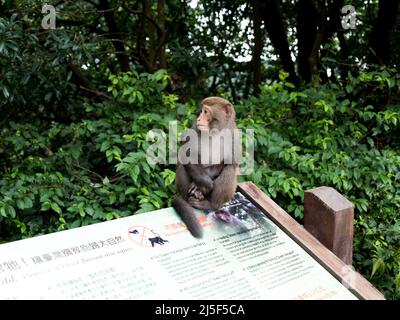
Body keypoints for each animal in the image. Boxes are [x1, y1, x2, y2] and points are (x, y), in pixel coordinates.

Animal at [171, 97, 241, 238]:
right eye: (202, 111)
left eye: (206, 112)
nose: (198, 118)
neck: (215, 131)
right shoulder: (194, 128)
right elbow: (187, 155)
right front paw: (203, 184)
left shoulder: (234, 136)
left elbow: (230, 162)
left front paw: (200, 187)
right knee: (182, 164)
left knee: (230, 170)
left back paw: (210, 205)